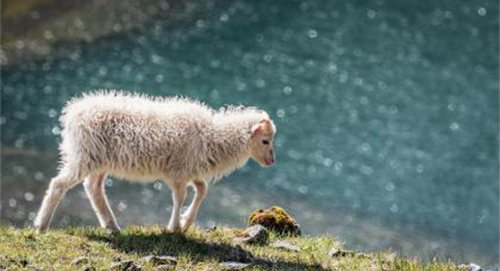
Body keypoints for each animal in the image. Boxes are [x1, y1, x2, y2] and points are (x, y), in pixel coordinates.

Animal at [34, 91, 278, 234]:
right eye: (265, 140)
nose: (272, 161)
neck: (212, 136)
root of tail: (73, 112)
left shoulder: (190, 170)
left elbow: (202, 190)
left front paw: (185, 222)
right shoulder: (178, 172)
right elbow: (180, 197)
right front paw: (174, 227)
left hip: (99, 160)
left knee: (93, 187)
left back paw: (111, 225)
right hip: (84, 155)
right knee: (58, 184)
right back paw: (41, 225)